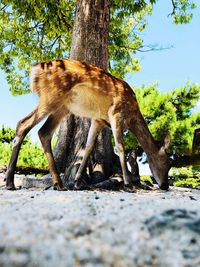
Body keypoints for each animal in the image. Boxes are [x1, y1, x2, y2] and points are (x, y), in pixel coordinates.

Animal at [4, 59, 170, 192]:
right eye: (167, 164)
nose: (165, 185)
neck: (133, 113)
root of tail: (34, 71)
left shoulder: (98, 120)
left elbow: (89, 146)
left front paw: (78, 182)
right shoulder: (116, 112)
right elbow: (120, 147)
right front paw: (128, 184)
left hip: (62, 107)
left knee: (44, 132)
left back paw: (59, 184)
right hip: (51, 97)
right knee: (23, 124)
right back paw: (10, 182)